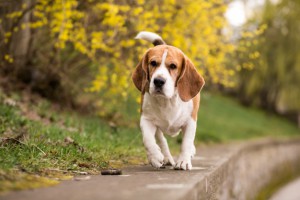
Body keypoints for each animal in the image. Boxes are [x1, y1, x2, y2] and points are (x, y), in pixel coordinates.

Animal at [132, 31, 205, 170]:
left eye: (173, 66)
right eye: (153, 63)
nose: (158, 81)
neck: (168, 100)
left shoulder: (190, 121)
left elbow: (186, 142)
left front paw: (183, 161)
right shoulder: (146, 119)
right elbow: (148, 140)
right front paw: (155, 157)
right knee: (161, 139)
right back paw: (165, 157)